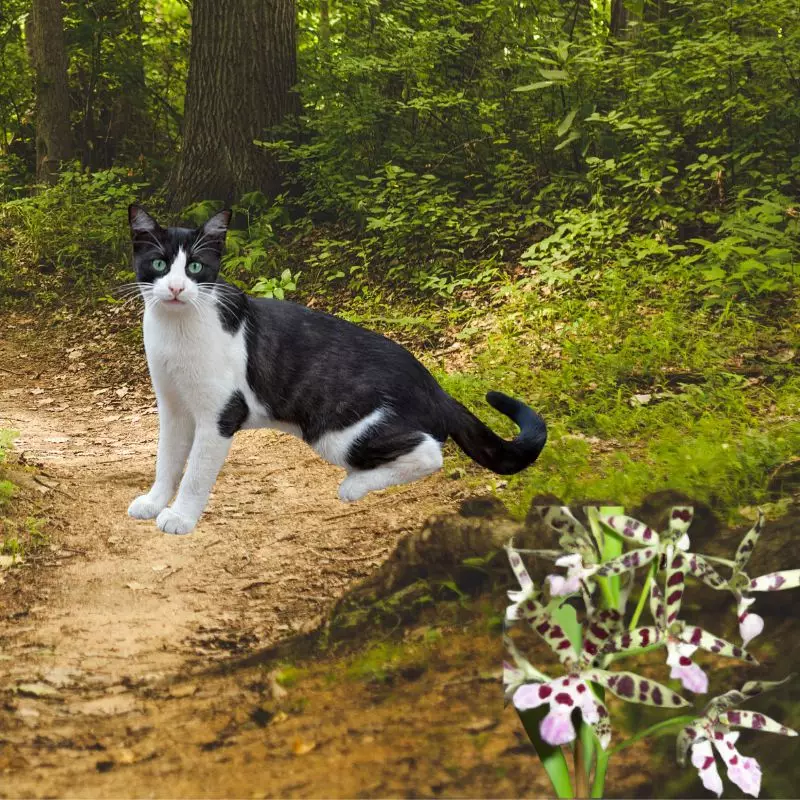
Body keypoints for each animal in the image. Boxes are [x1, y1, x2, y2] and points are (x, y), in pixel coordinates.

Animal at [126, 206, 552, 536]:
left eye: (196, 267)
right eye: (160, 264)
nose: (176, 288)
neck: (176, 330)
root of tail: (436, 389)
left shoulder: (221, 414)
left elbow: (196, 472)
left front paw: (180, 518)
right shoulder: (173, 409)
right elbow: (166, 459)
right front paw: (154, 502)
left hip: (337, 432)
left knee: (429, 451)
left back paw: (354, 486)